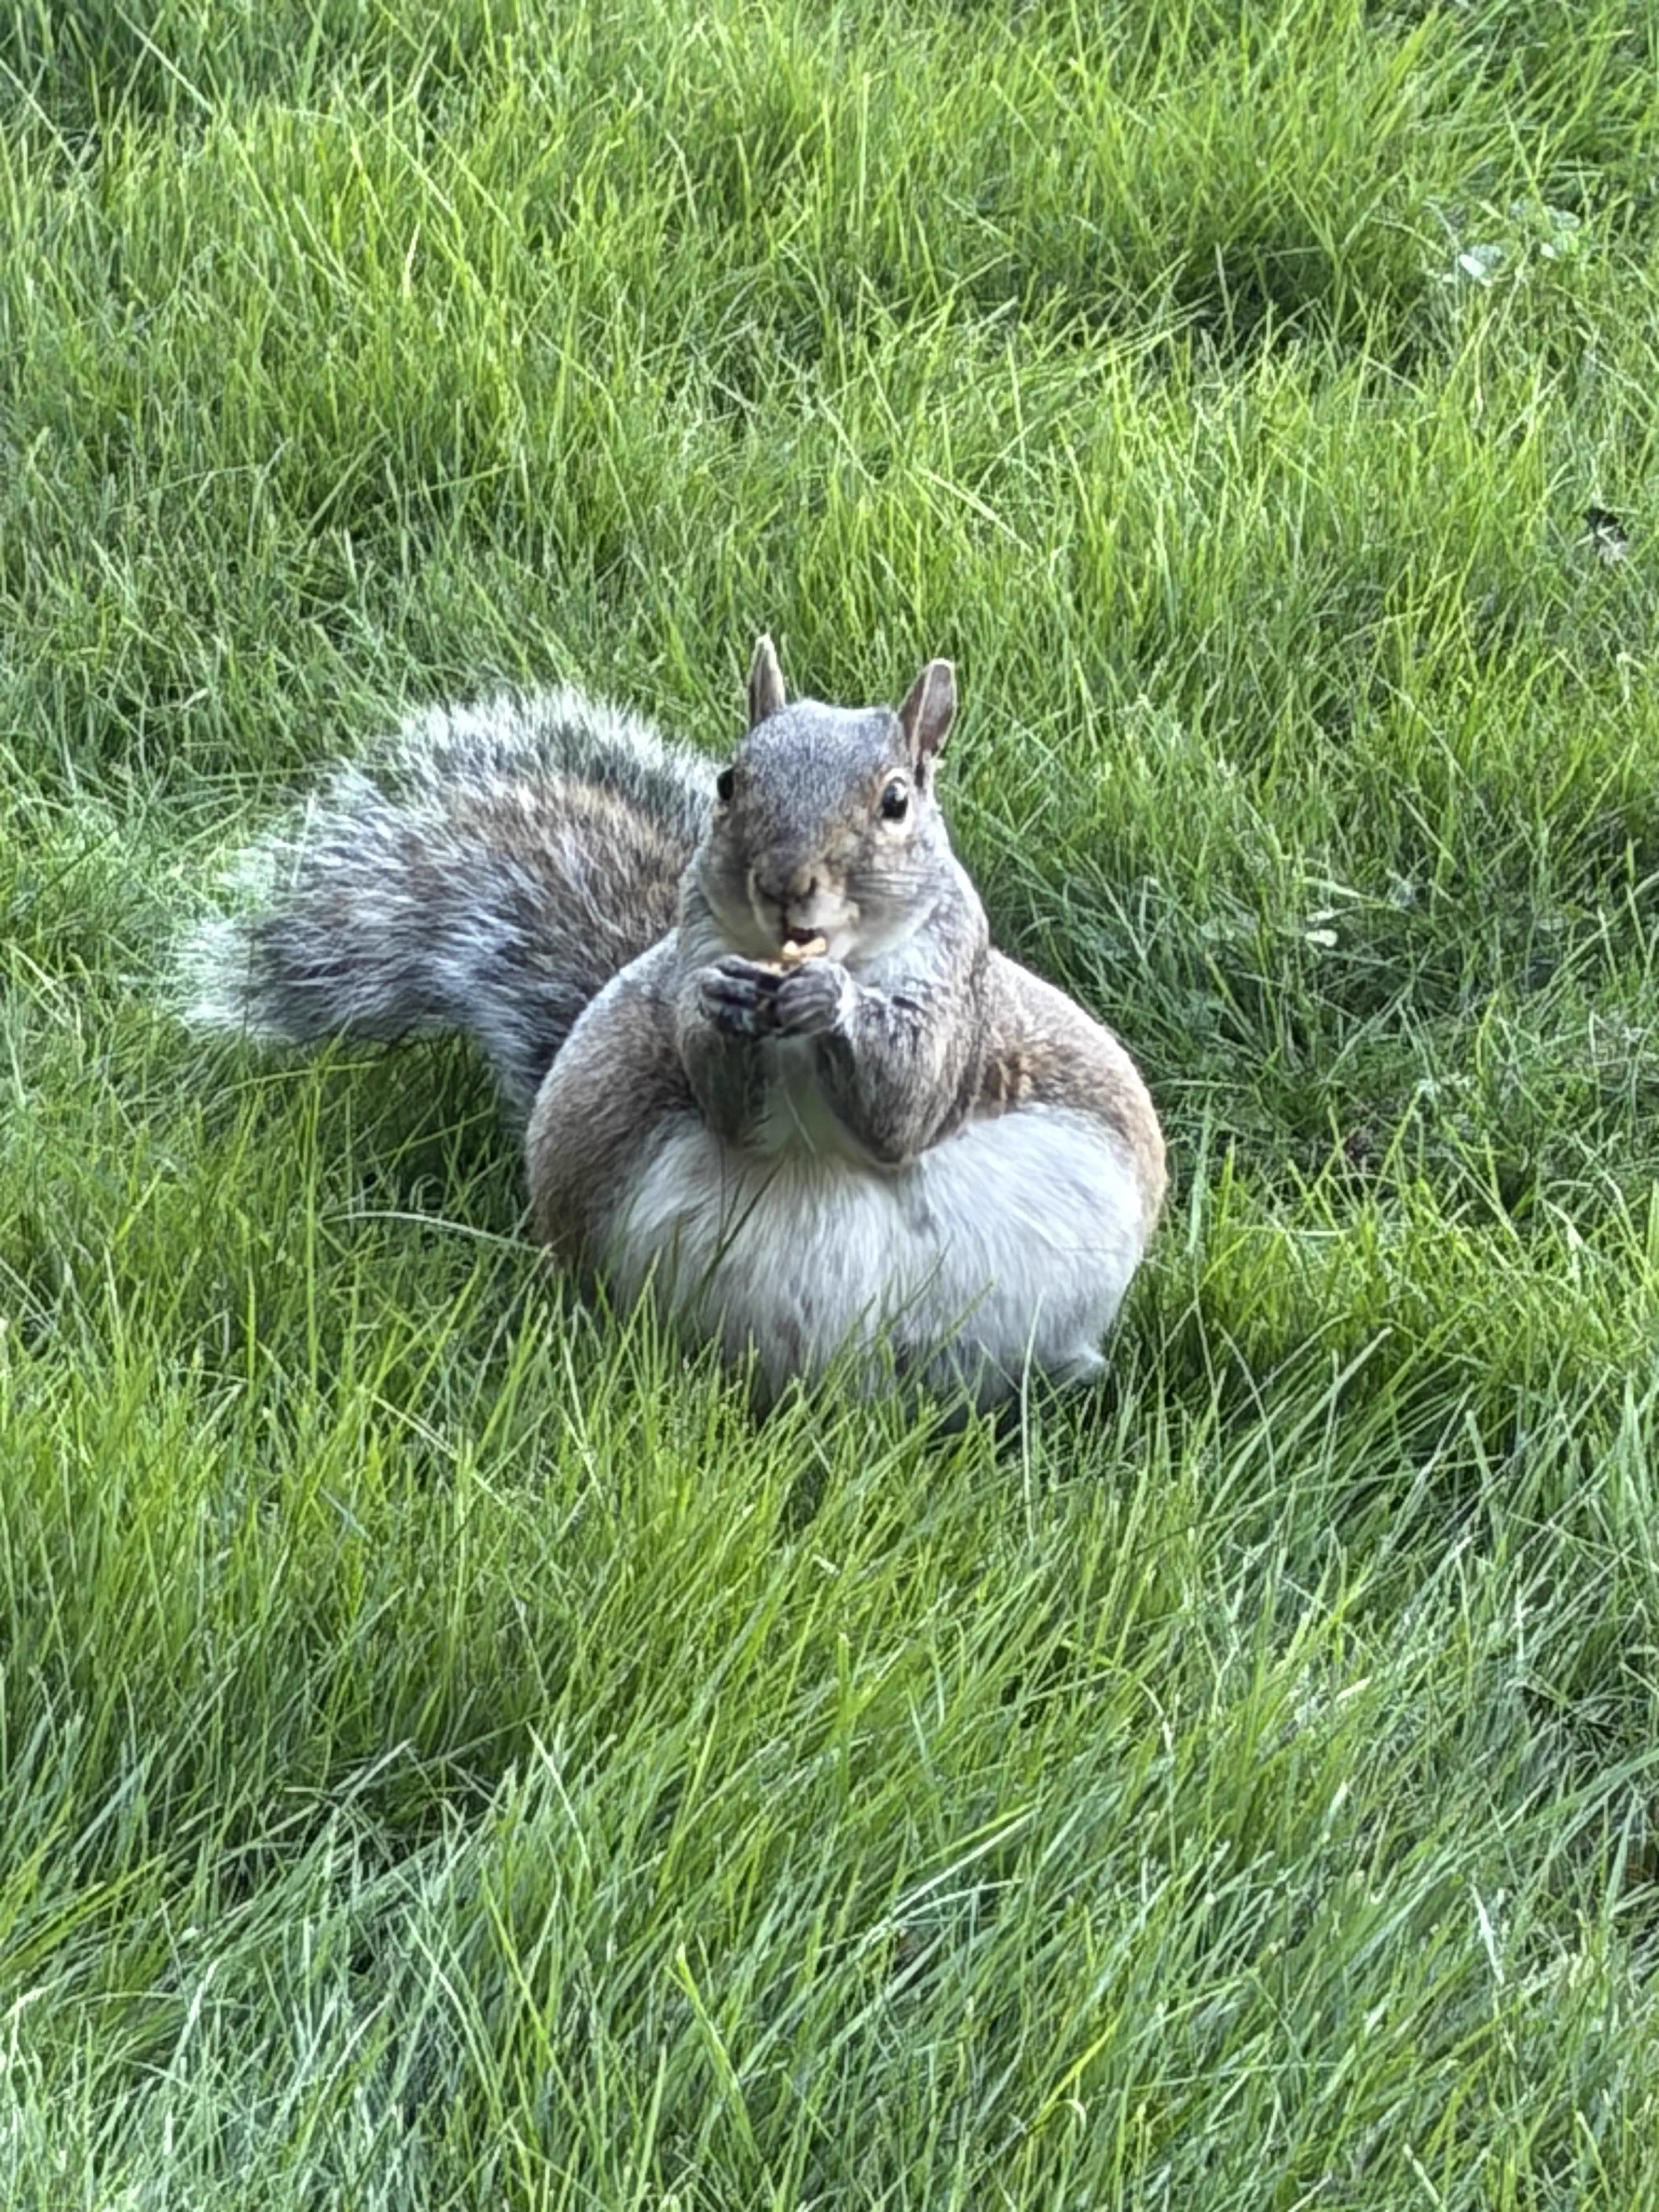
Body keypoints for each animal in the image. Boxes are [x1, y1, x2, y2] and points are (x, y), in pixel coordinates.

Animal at [182, 638, 1166, 1408]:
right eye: (730, 782)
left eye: (895, 801)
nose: (783, 883)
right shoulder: (693, 961)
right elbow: (725, 1098)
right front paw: (723, 1008)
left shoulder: (958, 1003)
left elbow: (906, 1107)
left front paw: (835, 1004)